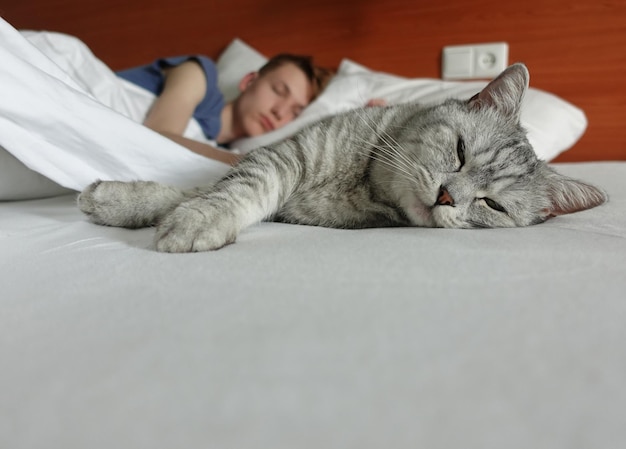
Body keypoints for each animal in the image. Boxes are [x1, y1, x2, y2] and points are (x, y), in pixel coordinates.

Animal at [77, 63, 604, 252]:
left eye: (492, 205)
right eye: (459, 152)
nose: (447, 196)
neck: (364, 184)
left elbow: (219, 192)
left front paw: (192, 220)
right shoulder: (282, 155)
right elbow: (214, 188)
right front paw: (124, 201)